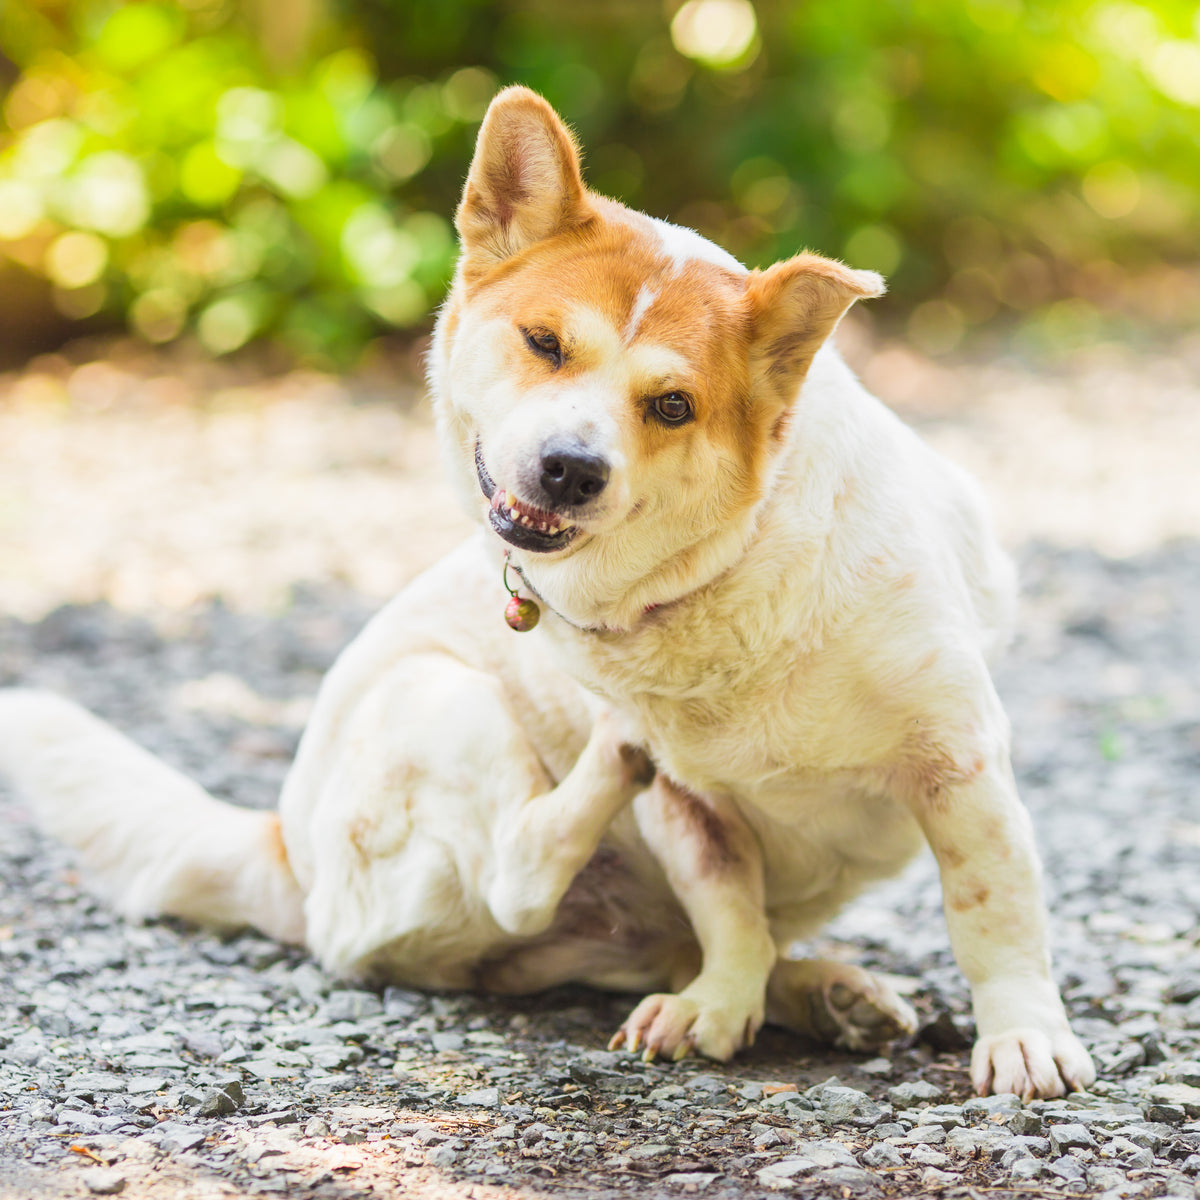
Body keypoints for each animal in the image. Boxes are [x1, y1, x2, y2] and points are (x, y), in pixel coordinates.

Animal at [0, 87, 1099, 1099]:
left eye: (672, 405)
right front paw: (720, 1005)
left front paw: (1020, 1037)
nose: (571, 468)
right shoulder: (691, 809)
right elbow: (728, 909)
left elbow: (991, 909)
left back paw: (825, 992)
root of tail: (283, 849)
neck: (727, 574)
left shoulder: (959, 766)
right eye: (544, 343)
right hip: (442, 700)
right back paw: (632, 796)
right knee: (519, 877)